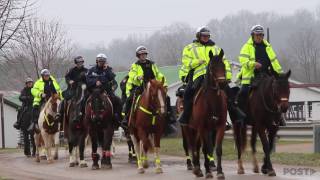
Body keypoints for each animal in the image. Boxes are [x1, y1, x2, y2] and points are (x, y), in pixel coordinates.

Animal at [181, 49, 229, 179]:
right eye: (212, 67)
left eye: (223, 65)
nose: (222, 84)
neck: (212, 101)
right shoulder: (203, 128)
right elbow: (206, 149)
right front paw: (208, 172)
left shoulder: (220, 127)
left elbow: (218, 149)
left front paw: (220, 172)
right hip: (189, 129)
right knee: (192, 146)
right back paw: (196, 168)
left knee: (196, 146)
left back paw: (198, 168)